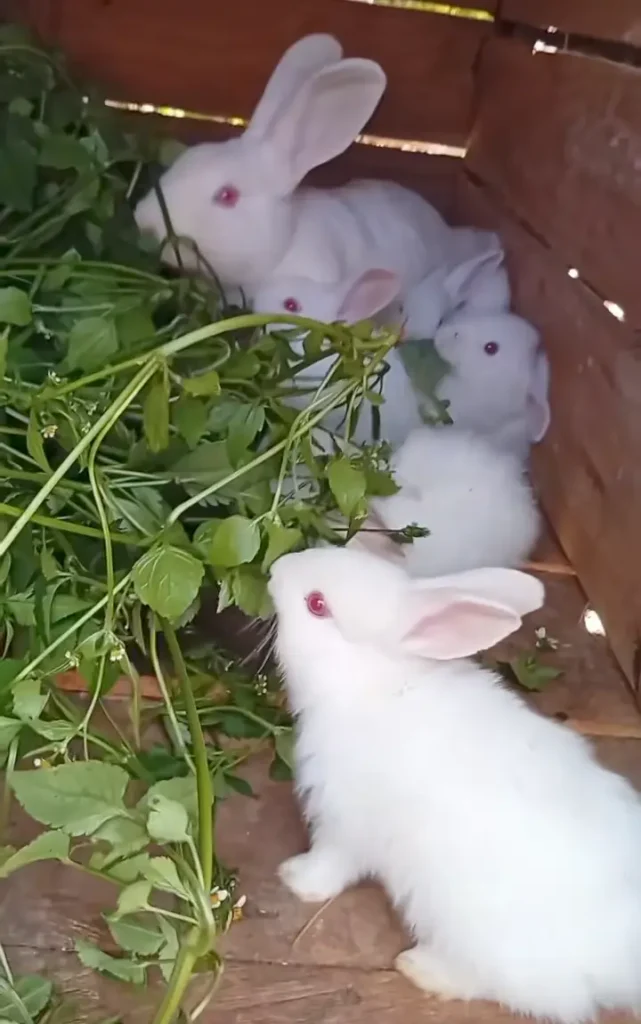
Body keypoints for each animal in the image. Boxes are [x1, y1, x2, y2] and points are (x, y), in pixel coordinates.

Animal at [269, 545, 641, 1024]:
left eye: (317, 604)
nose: (276, 569)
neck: (373, 683)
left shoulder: (344, 820)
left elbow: (331, 863)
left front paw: (295, 878)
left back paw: (422, 967)